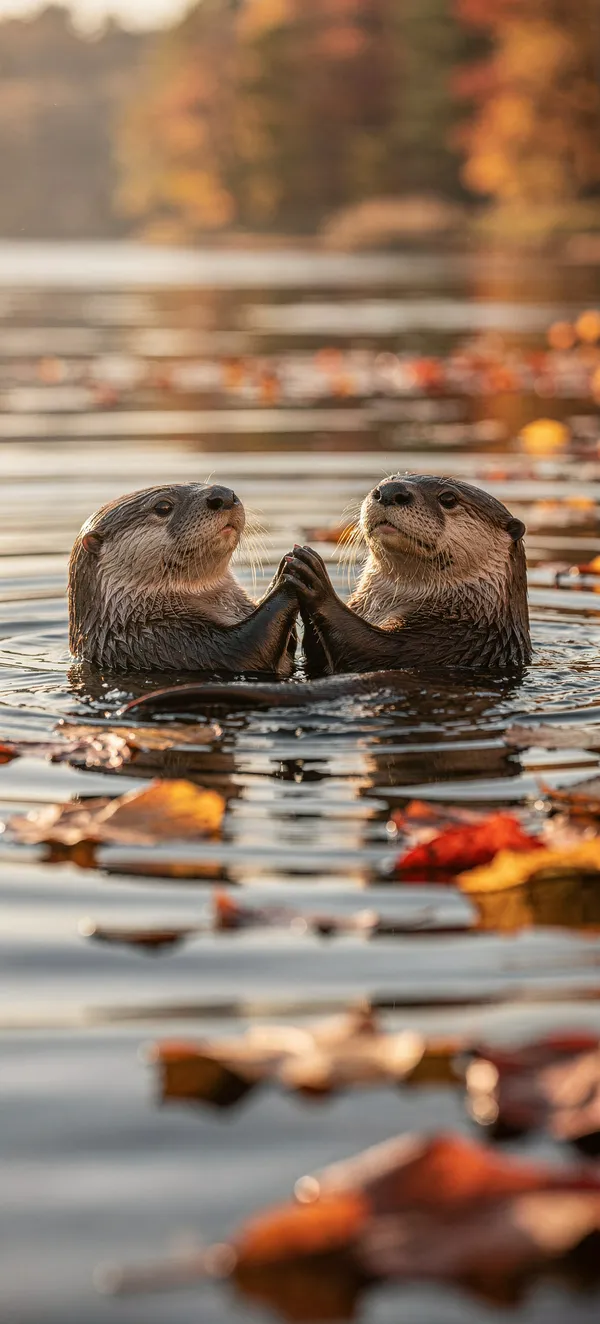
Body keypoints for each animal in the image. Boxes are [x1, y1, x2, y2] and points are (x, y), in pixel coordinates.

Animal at [120, 474, 531, 716]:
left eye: (448, 498)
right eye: (386, 482)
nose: (390, 491)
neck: (461, 611)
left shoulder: (444, 642)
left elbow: (374, 650)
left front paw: (312, 579)